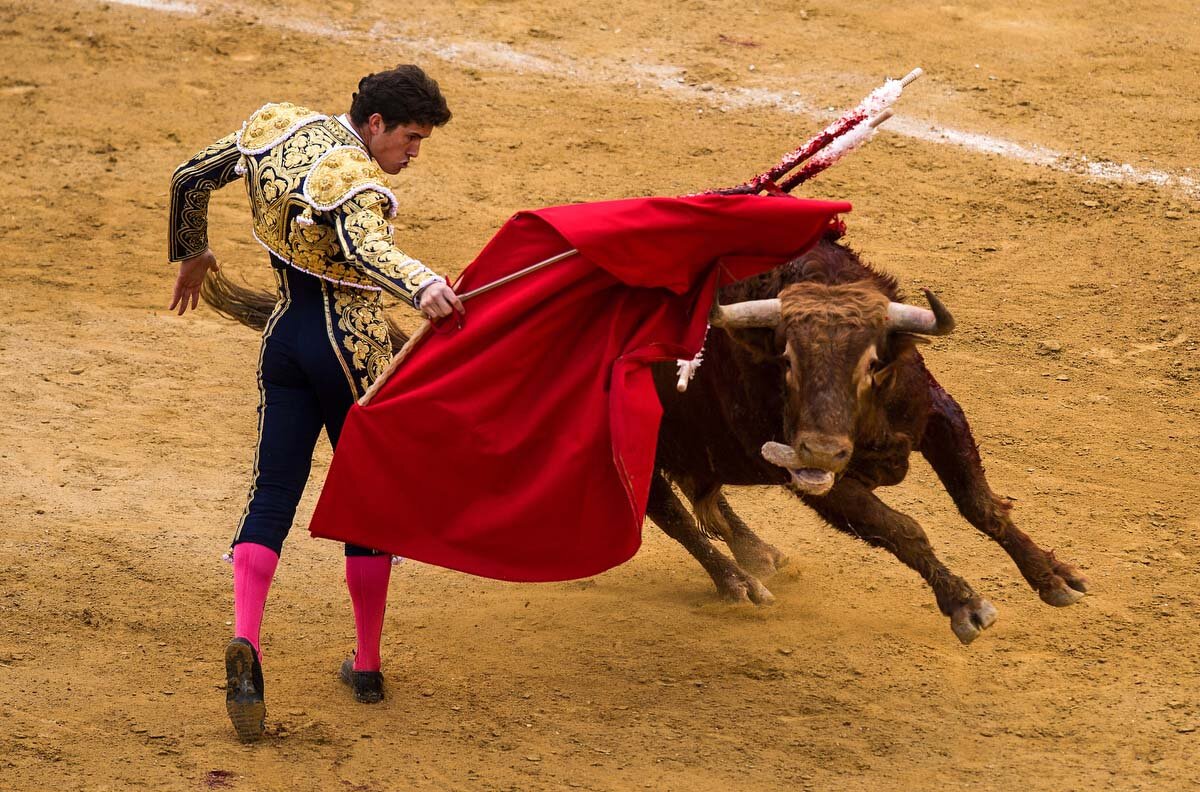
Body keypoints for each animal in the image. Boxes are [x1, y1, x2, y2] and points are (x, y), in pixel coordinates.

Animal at [652, 235, 1094, 643]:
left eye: (871, 363)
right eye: (787, 360)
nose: (823, 452)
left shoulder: (939, 414)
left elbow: (980, 505)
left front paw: (1054, 577)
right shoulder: (815, 480)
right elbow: (900, 528)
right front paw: (965, 604)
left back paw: (763, 556)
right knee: (671, 514)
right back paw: (739, 583)